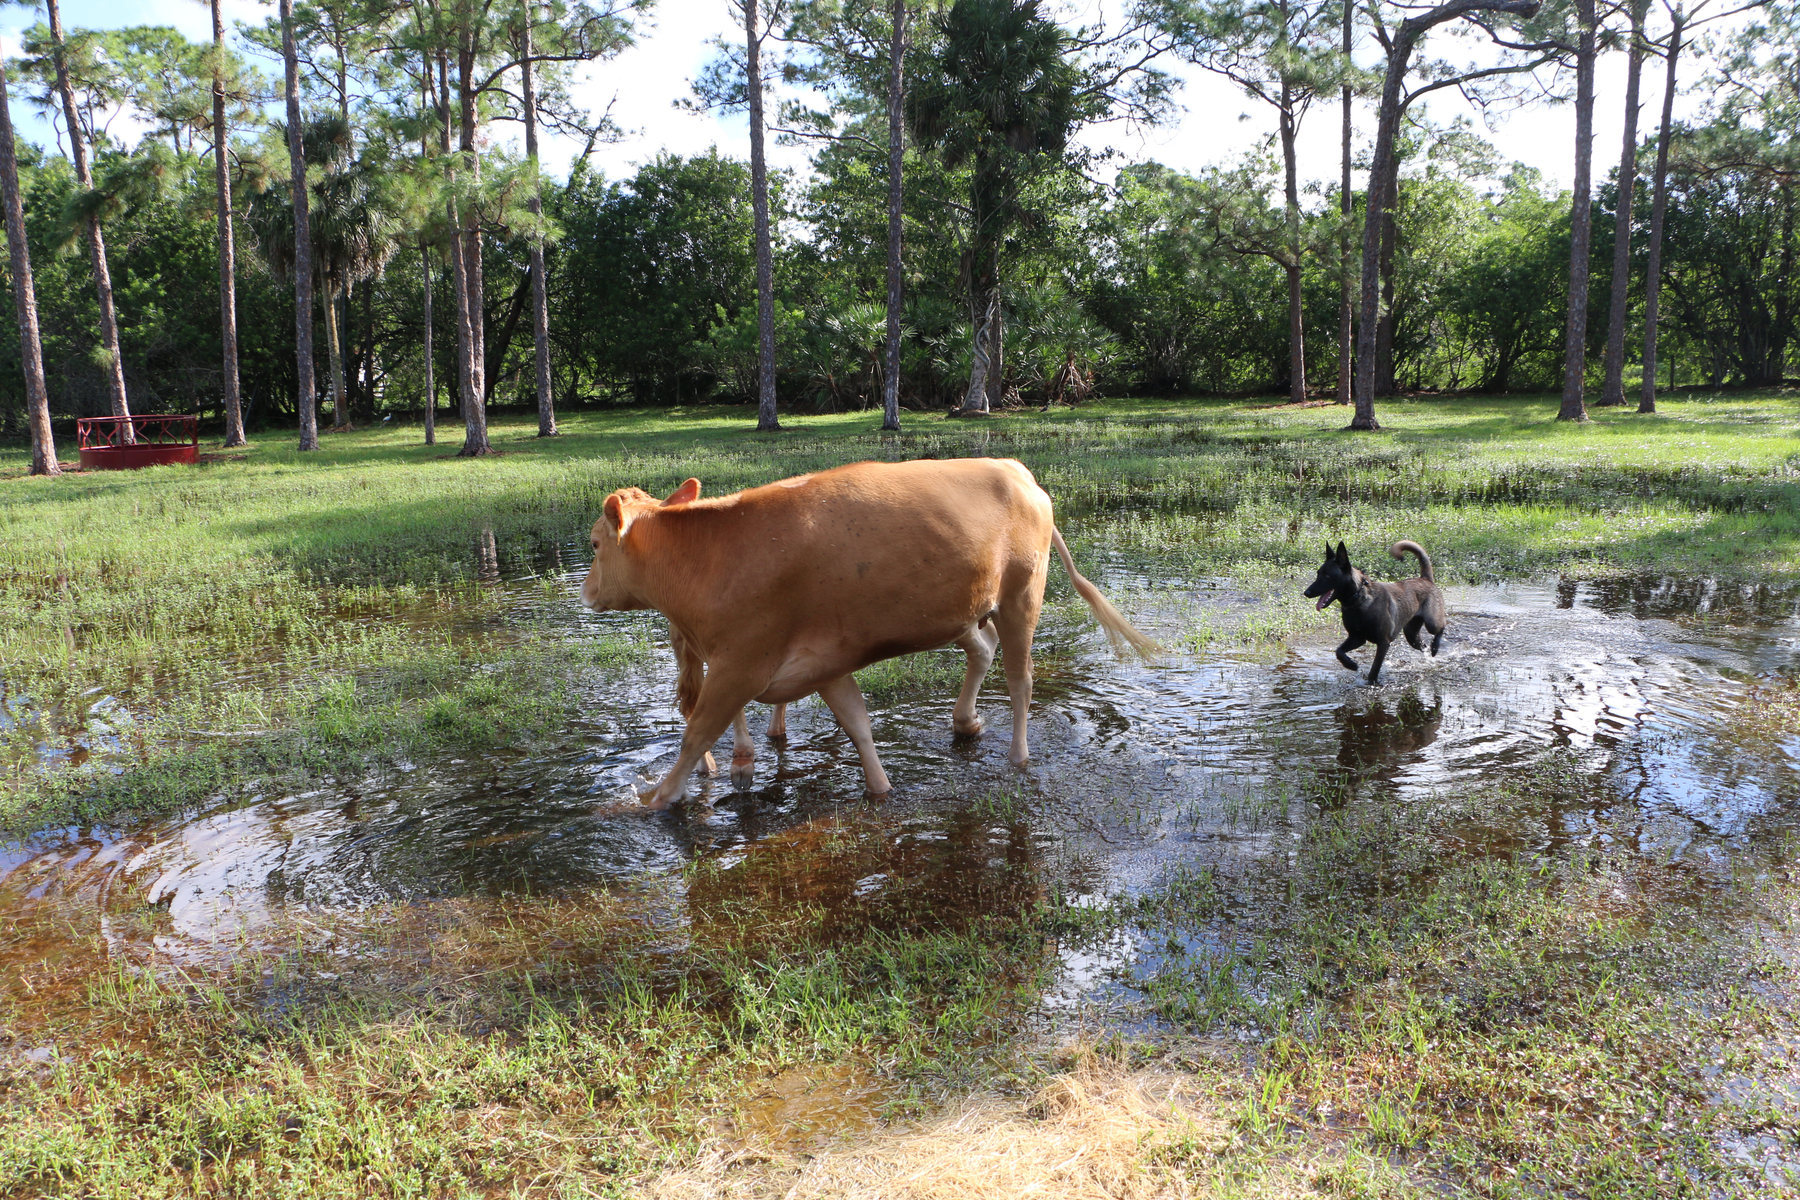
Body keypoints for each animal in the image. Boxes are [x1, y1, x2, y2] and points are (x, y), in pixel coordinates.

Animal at [581, 458, 1157, 809]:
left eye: (593, 544)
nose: (585, 593)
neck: (710, 559)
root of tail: (1018, 472)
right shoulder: (819, 663)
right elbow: (857, 723)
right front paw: (879, 788)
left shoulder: (740, 665)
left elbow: (696, 733)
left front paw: (655, 798)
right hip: (963, 608)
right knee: (984, 648)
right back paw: (964, 722)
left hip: (1022, 595)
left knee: (1020, 680)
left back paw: (1017, 755)